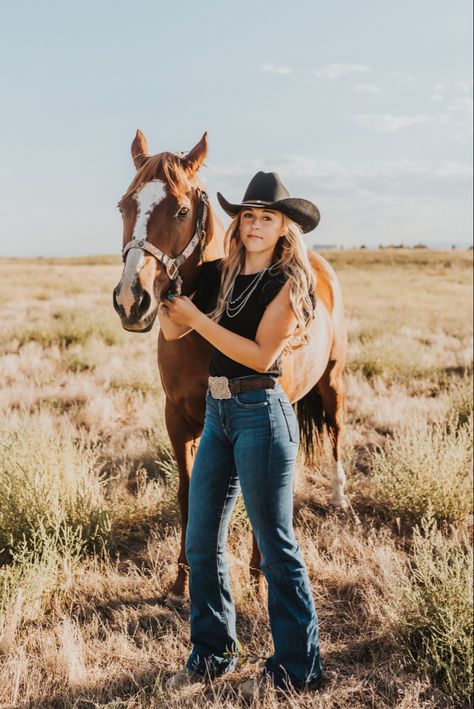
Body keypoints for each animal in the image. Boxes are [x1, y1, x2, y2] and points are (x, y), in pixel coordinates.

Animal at [112, 130, 348, 600]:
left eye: (182, 210)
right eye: (124, 206)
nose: (132, 300)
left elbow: (260, 501)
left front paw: (258, 579)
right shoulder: (177, 419)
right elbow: (188, 496)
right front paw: (182, 581)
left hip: (332, 381)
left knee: (334, 431)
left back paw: (338, 496)